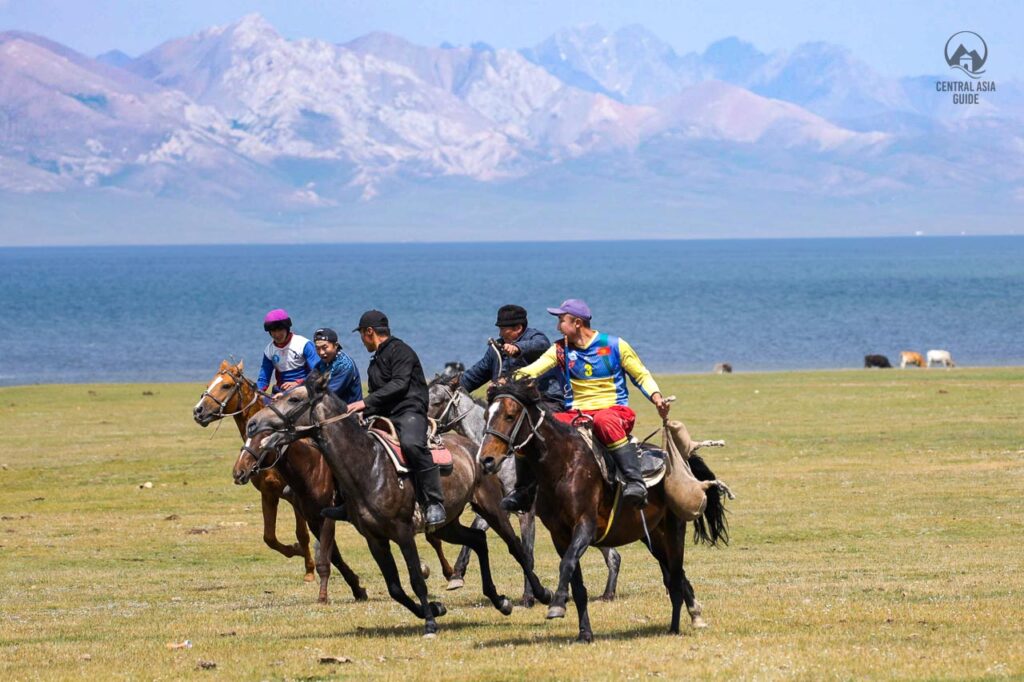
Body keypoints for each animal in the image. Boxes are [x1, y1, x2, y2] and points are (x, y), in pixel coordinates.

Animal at [192, 358, 315, 577]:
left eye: (226, 385)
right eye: (209, 384)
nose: (198, 411)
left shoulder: (297, 497)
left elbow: (302, 533)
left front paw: (310, 570)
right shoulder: (268, 494)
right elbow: (269, 537)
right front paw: (295, 550)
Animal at [245, 374, 552, 634]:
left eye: (295, 399)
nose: (253, 424)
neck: (368, 466)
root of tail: (476, 449)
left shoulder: (403, 533)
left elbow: (416, 578)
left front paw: (430, 623)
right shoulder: (375, 539)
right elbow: (395, 587)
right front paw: (436, 609)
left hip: (493, 509)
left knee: (516, 548)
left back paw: (539, 594)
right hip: (446, 525)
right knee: (478, 540)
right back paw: (499, 600)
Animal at [425, 374, 622, 602]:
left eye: (436, 402)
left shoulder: (525, 512)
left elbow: (526, 551)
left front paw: (529, 596)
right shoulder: (497, 508)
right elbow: (478, 532)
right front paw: (456, 575)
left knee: (612, 554)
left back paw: (606, 593)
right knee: (612, 553)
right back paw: (606, 592)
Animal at [475, 378, 733, 638]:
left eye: (510, 415)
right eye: (486, 415)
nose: (486, 459)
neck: (564, 466)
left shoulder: (585, 526)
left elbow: (567, 564)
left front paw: (556, 603)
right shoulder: (560, 534)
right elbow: (577, 583)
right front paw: (584, 633)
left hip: (673, 530)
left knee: (676, 575)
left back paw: (677, 626)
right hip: (653, 537)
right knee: (675, 576)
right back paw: (691, 617)